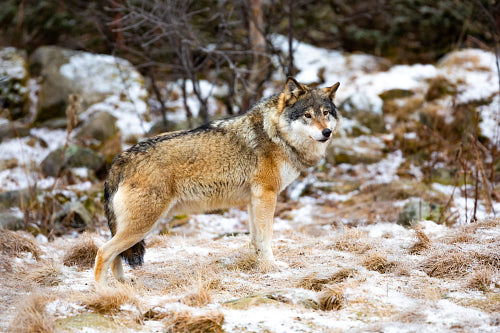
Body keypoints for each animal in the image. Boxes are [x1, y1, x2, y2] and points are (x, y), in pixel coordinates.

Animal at [94, 77, 340, 286]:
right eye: (307, 115)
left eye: (325, 113)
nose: (326, 132)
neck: (276, 134)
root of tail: (120, 159)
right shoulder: (267, 195)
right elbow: (266, 237)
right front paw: (271, 266)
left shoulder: (254, 200)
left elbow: (256, 239)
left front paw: (259, 264)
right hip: (142, 226)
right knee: (102, 252)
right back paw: (104, 293)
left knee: (114, 256)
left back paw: (122, 284)